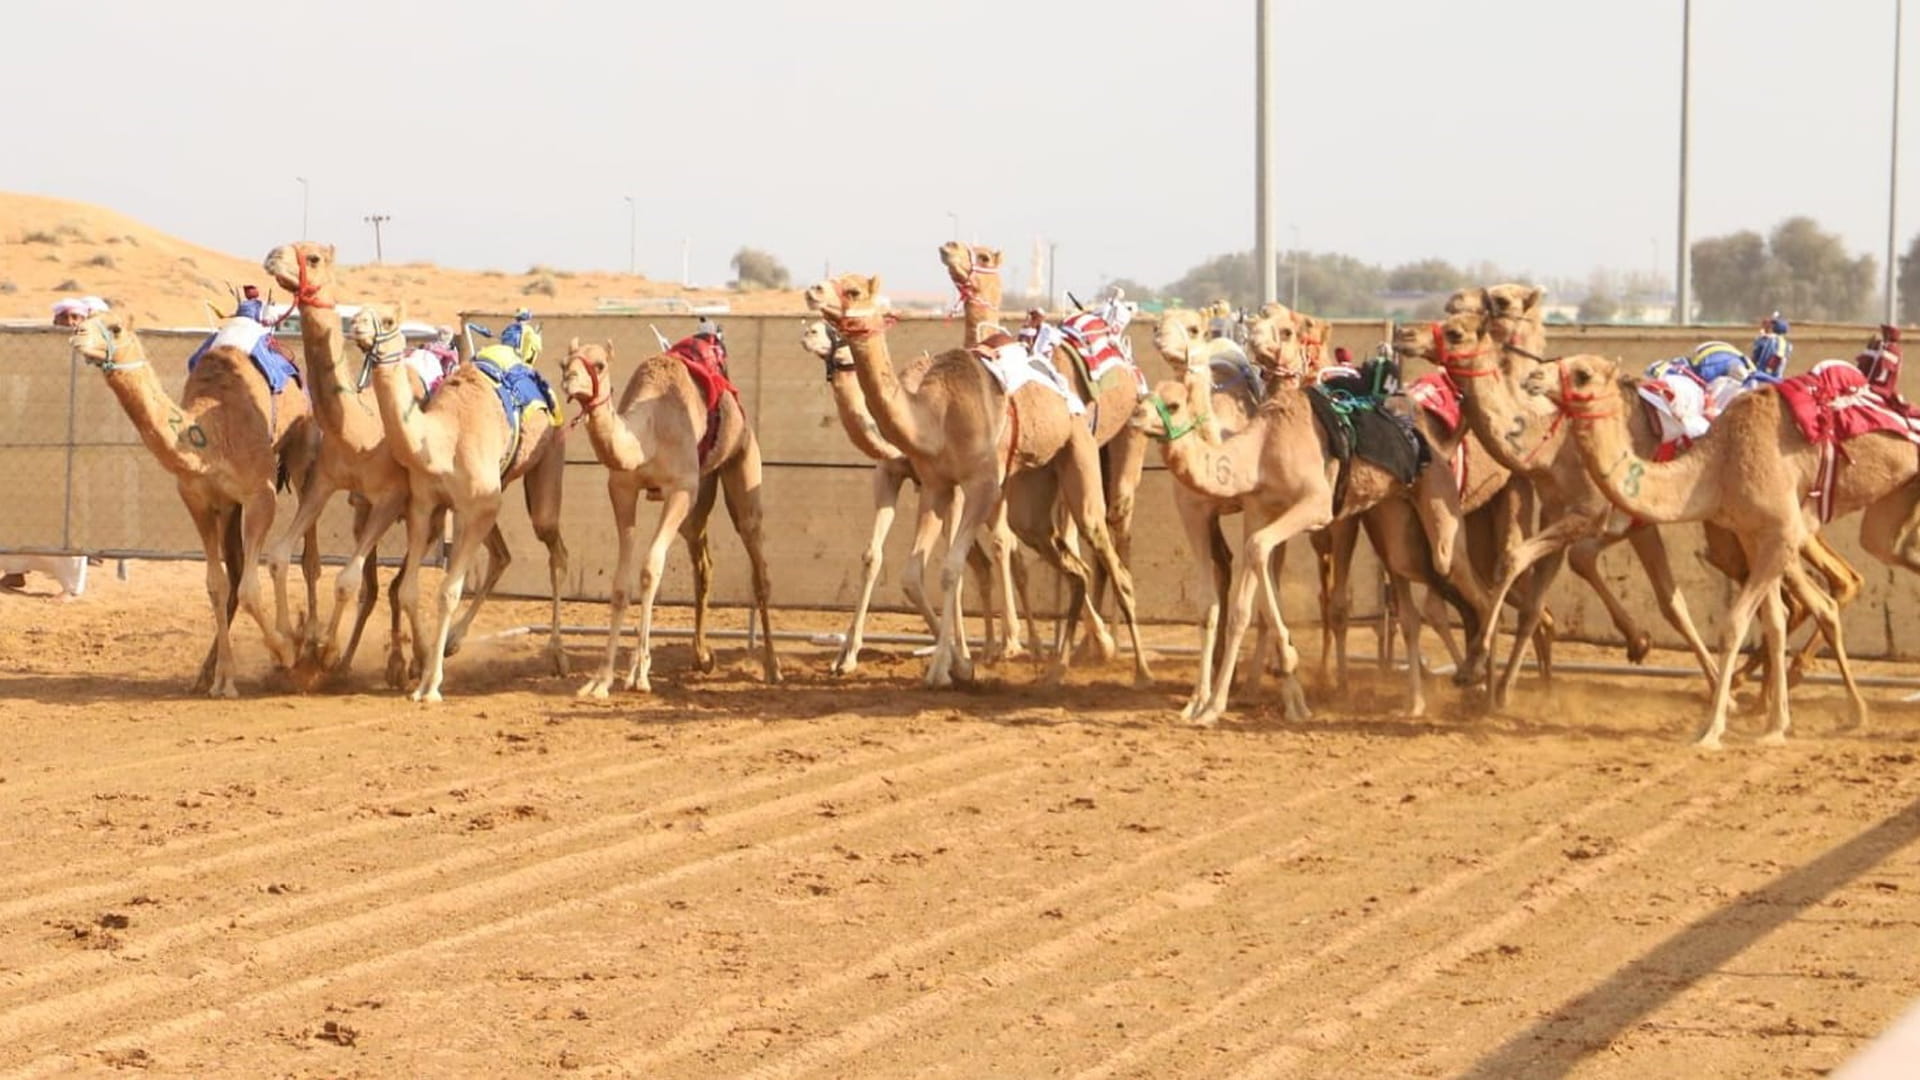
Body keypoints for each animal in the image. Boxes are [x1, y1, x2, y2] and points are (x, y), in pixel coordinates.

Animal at [66, 311, 314, 699]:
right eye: (85, 318)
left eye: (116, 327)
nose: (75, 332)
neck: (210, 436)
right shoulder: (199, 500)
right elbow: (217, 585)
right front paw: (224, 680)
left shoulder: (261, 495)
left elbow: (251, 588)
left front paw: (286, 651)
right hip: (229, 509)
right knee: (237, 572)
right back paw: (210, 671)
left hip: (301, 451)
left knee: (307, 554)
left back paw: (313, 644)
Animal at [347, 299, 568, 699]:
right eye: (360, 310)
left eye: (388, 319)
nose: (356, 325)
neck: (440, 440)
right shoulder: (426, 506)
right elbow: (409, 589)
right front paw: (422, 670)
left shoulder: (476, 506)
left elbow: (449, 591)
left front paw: (429, 686)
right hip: (488, 495)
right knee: (502, 556)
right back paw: (452, 642)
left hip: (546, 458)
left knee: (556, 550)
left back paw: (558, 655)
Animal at [560, 336, 779, 691]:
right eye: (564, 363)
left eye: (600, 364)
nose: (569, 380)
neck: (647, 435)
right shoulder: (622, 488)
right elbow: (620, 584)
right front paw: (601, 680)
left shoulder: (680, 489)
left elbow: (650, 569)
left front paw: (639, 672)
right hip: (701, 490)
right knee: (703, 563)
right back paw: (703, 657)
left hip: (742, 459)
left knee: (757, 560)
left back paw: (772, 667)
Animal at [802, 272, 1144, 684]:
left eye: (853, 290)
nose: (813, 294)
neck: (934, 415)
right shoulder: (932, 484)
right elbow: (905, 570)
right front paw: (952, 663)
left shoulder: (979, 486)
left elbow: (953, 567)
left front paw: (946, 667)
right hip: (1032, 489)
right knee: (1065, 560)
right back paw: (1058, 666)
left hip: (1081, 451)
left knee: (1103, 553)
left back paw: (1129, 666)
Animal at [1536, 357, 1912, 745]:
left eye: (1583, 375)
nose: (1533, 377)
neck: (1717, 466)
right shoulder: (1750, 534)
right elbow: (1774, 623)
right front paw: (1775, 726)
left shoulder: (1781, 535)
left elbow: (1733, 624)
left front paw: (1711, 730)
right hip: (1887, 517)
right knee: (1879, 556)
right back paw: (1850, 711)